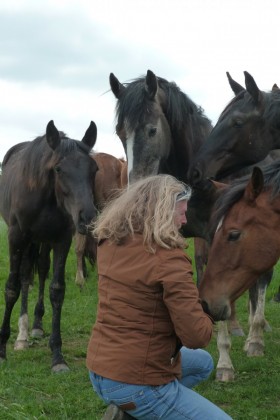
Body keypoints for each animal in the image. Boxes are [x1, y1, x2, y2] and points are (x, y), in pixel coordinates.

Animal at [0, 120, 98, 372]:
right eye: (58, 169)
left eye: (94, 169)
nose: (87, 218)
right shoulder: (16, 237)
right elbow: (12, 287)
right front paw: (2, 350)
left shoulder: (62, 240)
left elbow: (57, 290)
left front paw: (58, 355)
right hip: (28, 241)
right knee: (25, 276)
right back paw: (22, 335)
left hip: (43, 241)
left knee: (42, 270)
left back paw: (35, 325)